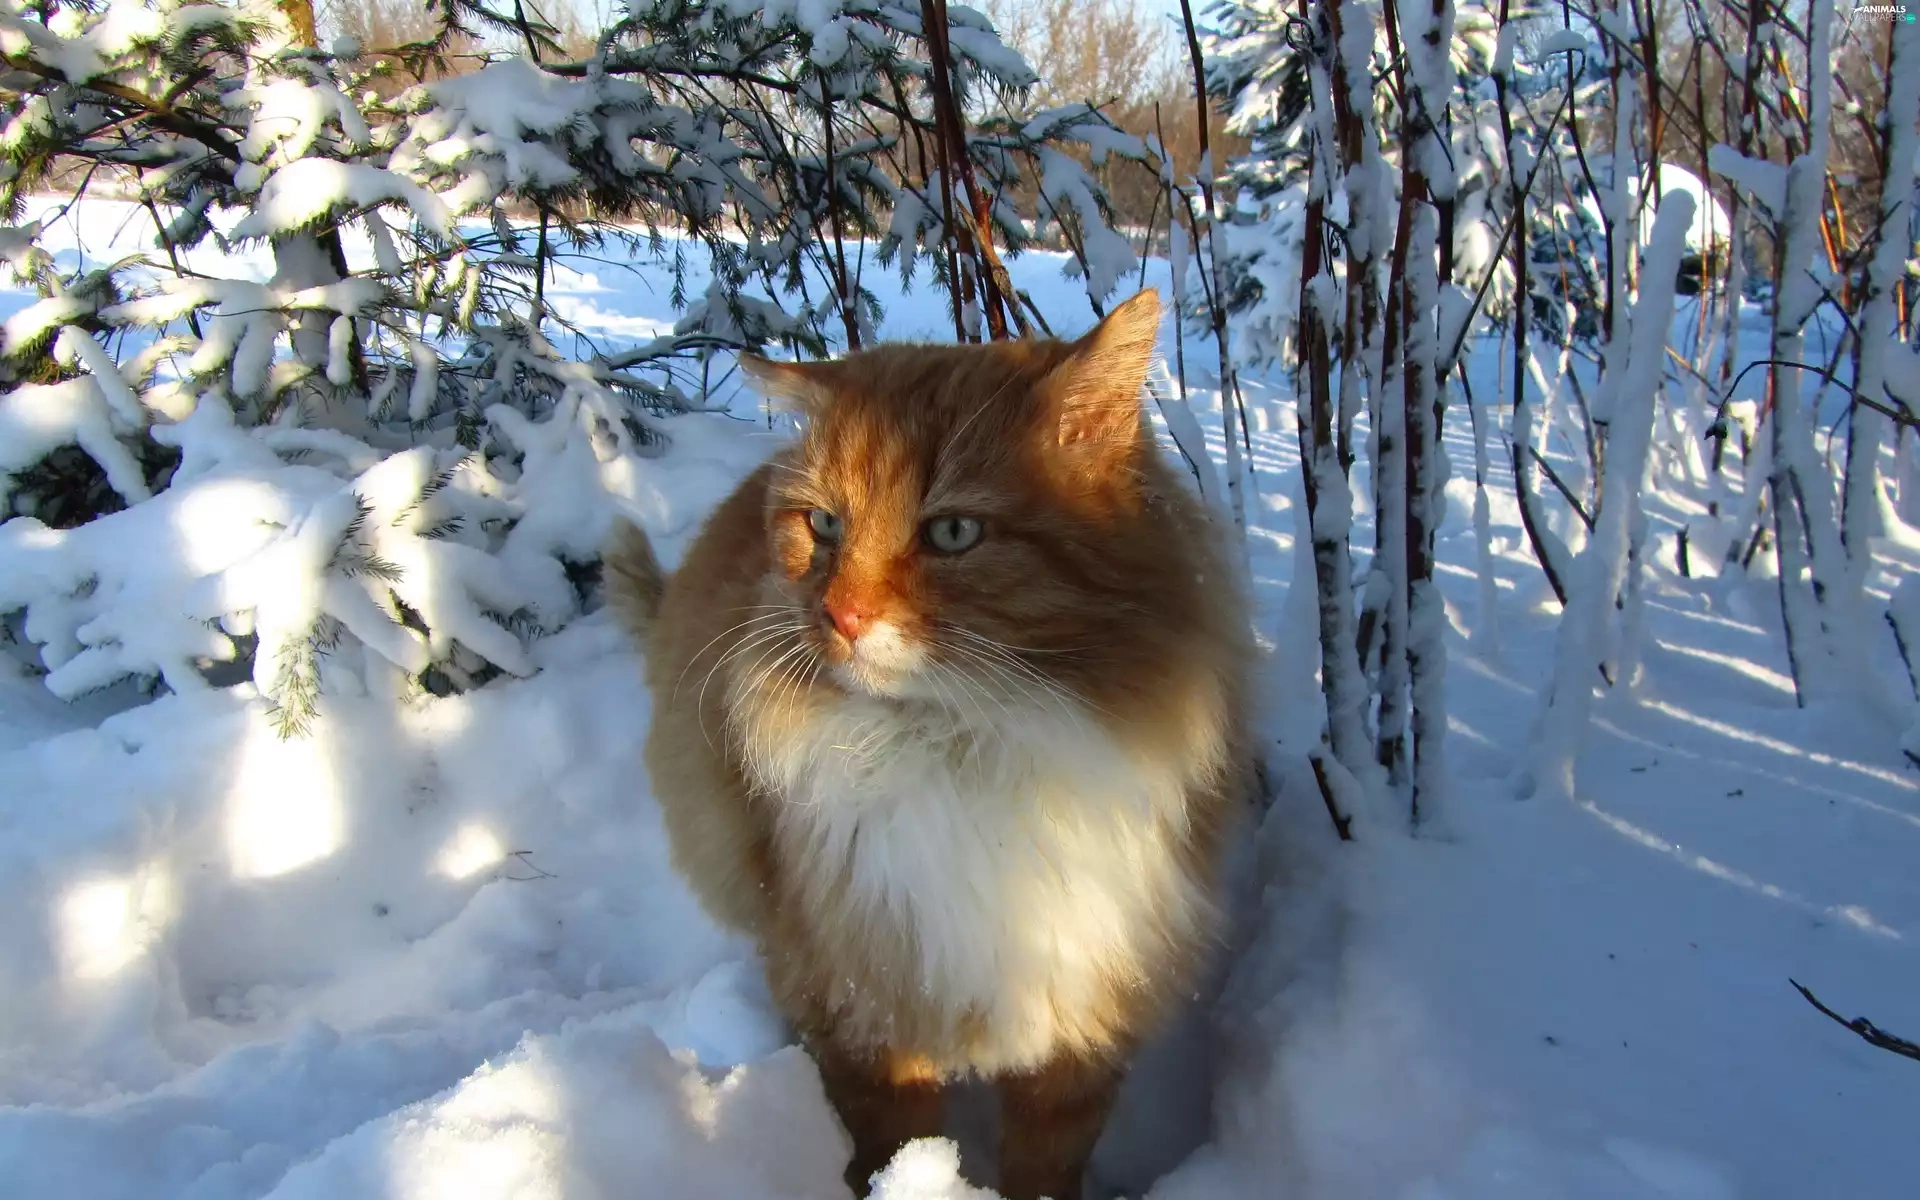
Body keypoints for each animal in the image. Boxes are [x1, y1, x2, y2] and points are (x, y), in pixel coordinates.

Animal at [604, 289, 1253, 1200]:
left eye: (951, 534)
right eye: (824, 526)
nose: (838, 615)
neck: (966, 748)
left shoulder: (1084, 1016)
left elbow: (1045, 1165)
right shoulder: (866, 1006)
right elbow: (895, 1142)